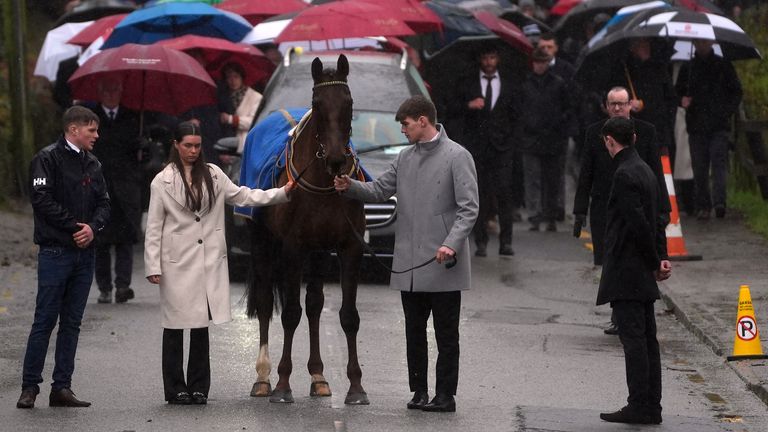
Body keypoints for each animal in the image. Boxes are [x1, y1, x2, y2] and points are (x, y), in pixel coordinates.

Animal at [244, 54, 368, 404]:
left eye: (349, 101)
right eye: (317, 103)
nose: (338, 159)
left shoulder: (348, 248)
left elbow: (347, 315)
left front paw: (355, 386)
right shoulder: (292, 248)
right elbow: (289, 313)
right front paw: (282, 384)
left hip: (318, 252)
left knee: (314, 305)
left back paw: (318, 376)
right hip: (261, 242)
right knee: (265, 303)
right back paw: (263, 378)